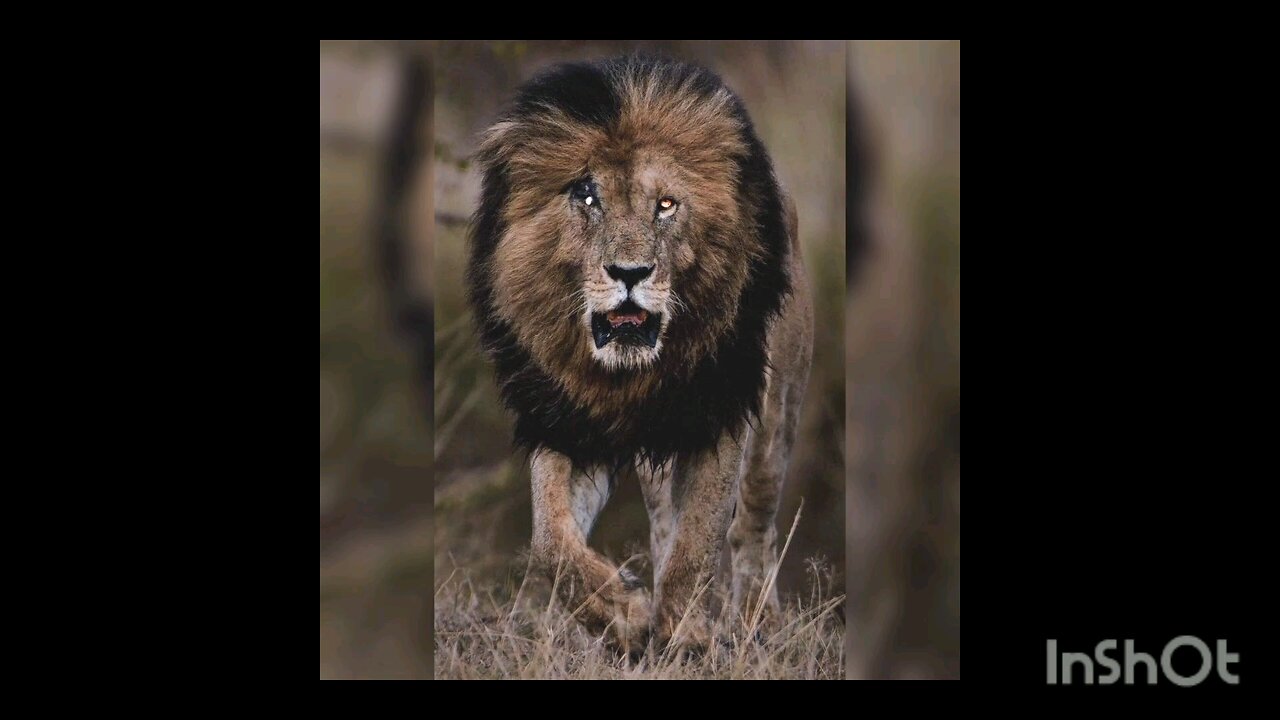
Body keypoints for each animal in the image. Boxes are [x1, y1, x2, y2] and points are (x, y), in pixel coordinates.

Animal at [466, 56, 813, 654]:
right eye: (587, 197)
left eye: (666, 206)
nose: (630, 273)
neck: (624, 380)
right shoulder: (566, 420)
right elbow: (550, 541)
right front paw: (624, 614)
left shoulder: (722, 413)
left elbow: (700, 538)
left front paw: (684, 632)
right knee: (664, 521)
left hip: (776, 417)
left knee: (753, 525)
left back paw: (754, 624)